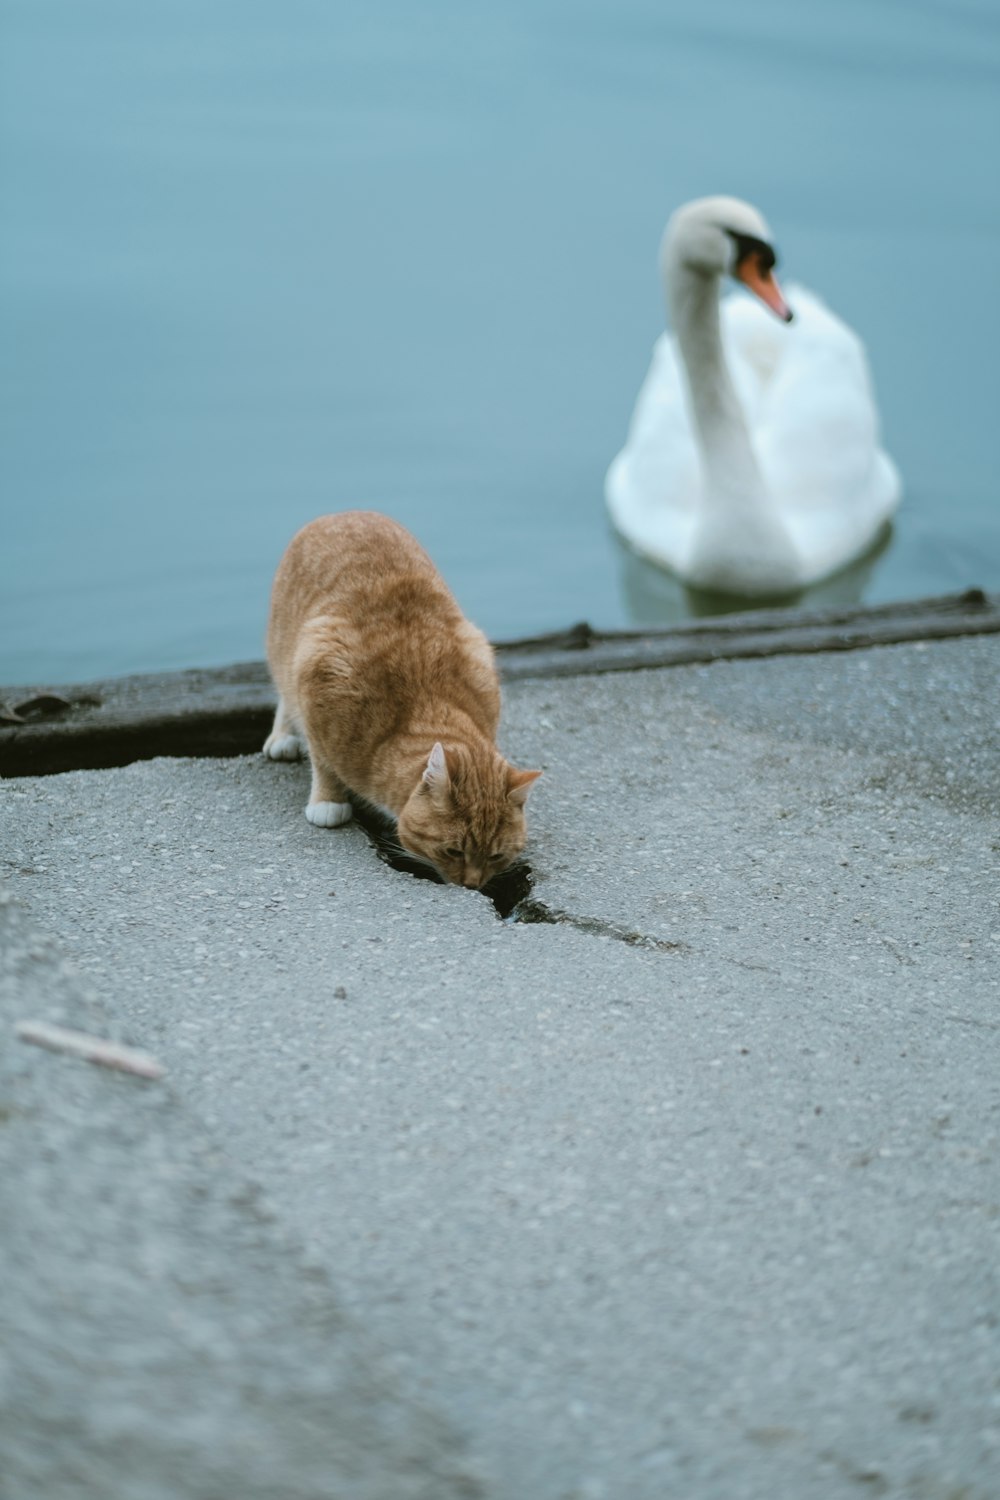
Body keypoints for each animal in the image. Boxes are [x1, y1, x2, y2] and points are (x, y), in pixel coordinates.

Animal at [262, 516, 536, 888]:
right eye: (453, 851)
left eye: (495, 856)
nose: (472, 886)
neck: (423, 710)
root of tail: (346, 513)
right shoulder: (317, 675)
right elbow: (322, 760)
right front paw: (328, 800)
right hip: (288, 650)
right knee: (284, 691)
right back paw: (283, 736)